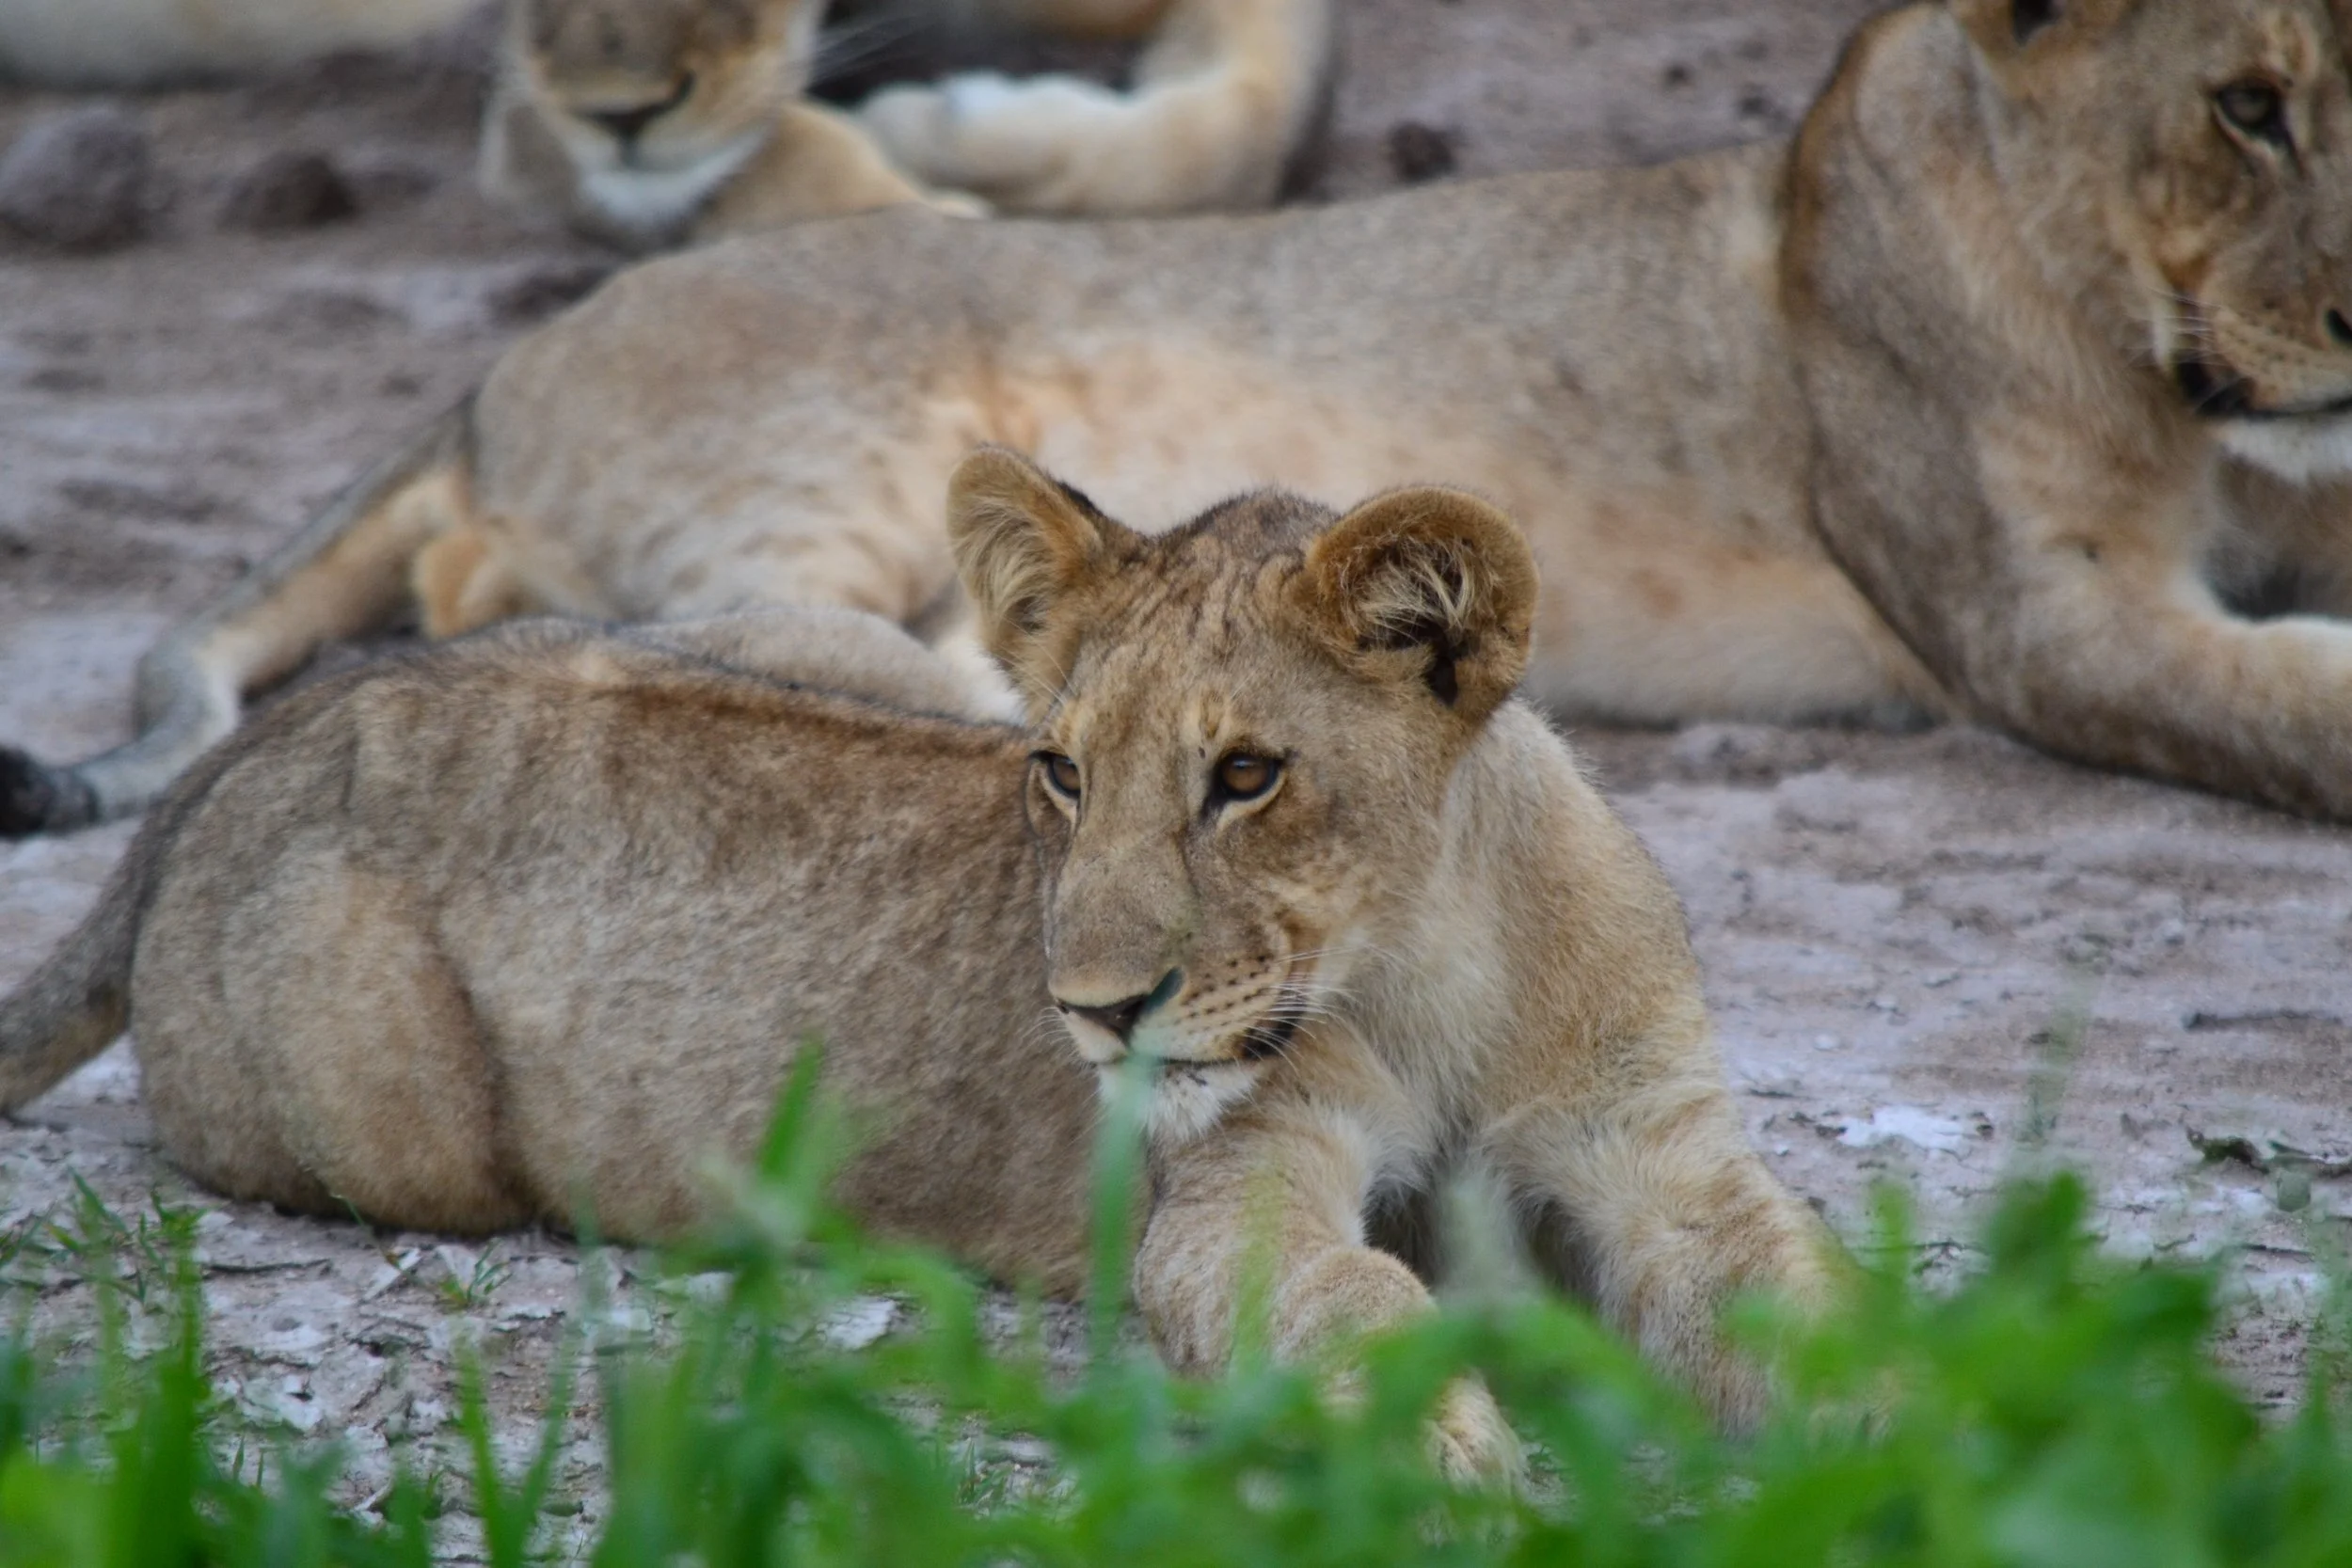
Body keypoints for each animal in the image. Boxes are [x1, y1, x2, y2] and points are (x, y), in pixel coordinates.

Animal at [0, 452, 1832, 1479]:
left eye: (1247, 775)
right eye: (1062, 771)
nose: (1093, 1011)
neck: (1433, 955)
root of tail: (295, 718)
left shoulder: (1658, 1151)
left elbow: (1809, 1305)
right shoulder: (1223, 1194)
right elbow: (1353, 1296)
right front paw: (1447, 1452)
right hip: (407, 1131)